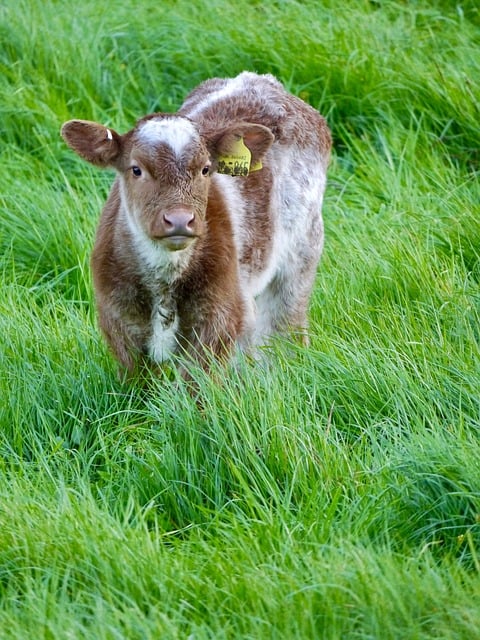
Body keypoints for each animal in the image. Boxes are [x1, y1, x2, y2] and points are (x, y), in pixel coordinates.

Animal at [61, 72, 330, 376]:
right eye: (136, 169)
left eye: (205, 169)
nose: (179, 219)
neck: (164, 279)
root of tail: (261, 79)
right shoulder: (118, 319)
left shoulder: (219, 316)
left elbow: (197, 382)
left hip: (302, 253)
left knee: (284, 329)